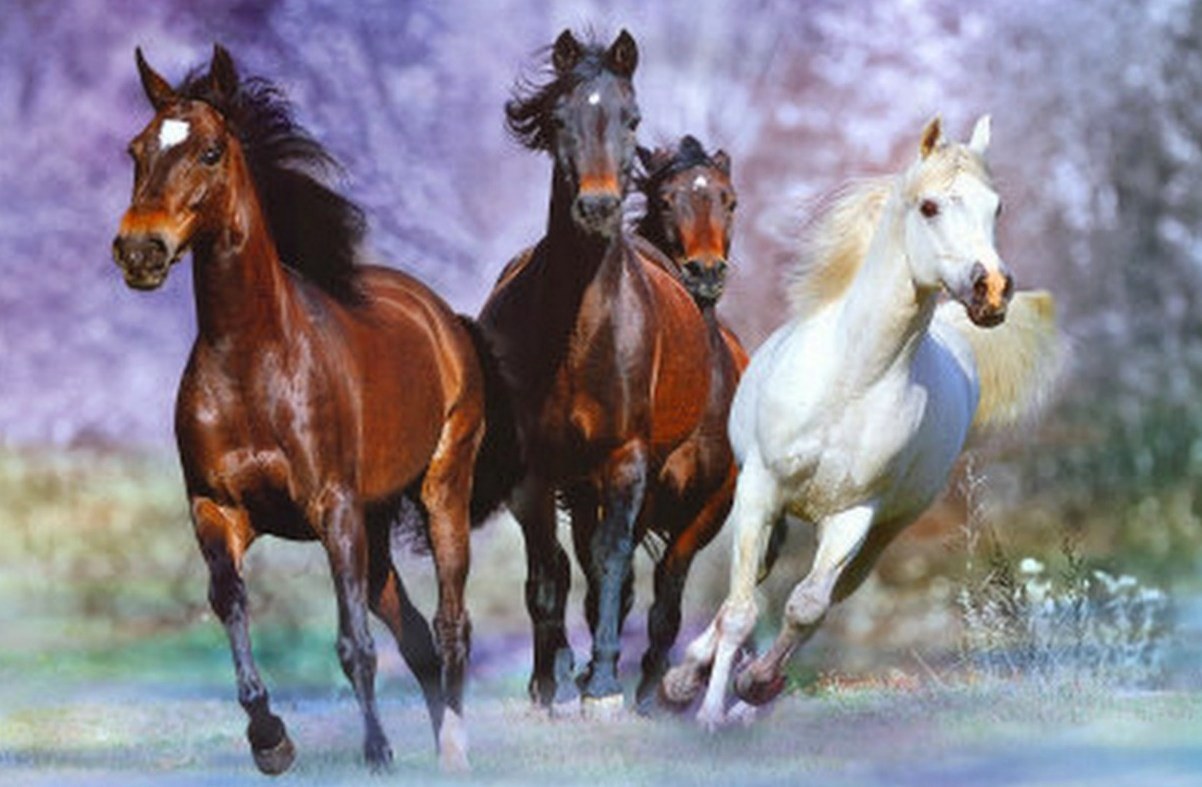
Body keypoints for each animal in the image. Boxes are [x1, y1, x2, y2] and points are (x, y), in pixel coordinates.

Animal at [111, 45, 503, 772]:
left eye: (210, 151)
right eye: (136, 149)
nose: (139, 251)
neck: (252, 363)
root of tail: (443, 318)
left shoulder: (333, 509)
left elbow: (354, 644)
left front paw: (377, 753)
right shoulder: (217, 509)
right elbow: (230, 601)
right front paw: (271, 739)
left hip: (440, 493)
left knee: (449, 624)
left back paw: (454, 753)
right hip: (375, 528)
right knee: (417, 636)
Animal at [477, 30, 720, 711]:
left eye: (631, 118)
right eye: (560, 118)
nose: (598, 207)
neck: (576, 332)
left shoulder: (625, 459)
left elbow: (611, 563)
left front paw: (605, 688)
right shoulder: (532, 471)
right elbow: (546, 573)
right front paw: (547, 684)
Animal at [661, 116, 1063, 728]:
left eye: (997, 207)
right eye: (929, 206)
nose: (991, 290)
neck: (851, 380)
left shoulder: (855, 514)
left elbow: (807, 607)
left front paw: (752, 686)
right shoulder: (759, 490)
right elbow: (740, 610)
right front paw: (705, 710)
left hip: (883, 531)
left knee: (828, 596)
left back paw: (748, 693)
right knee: (745, 591)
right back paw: (688, 681)